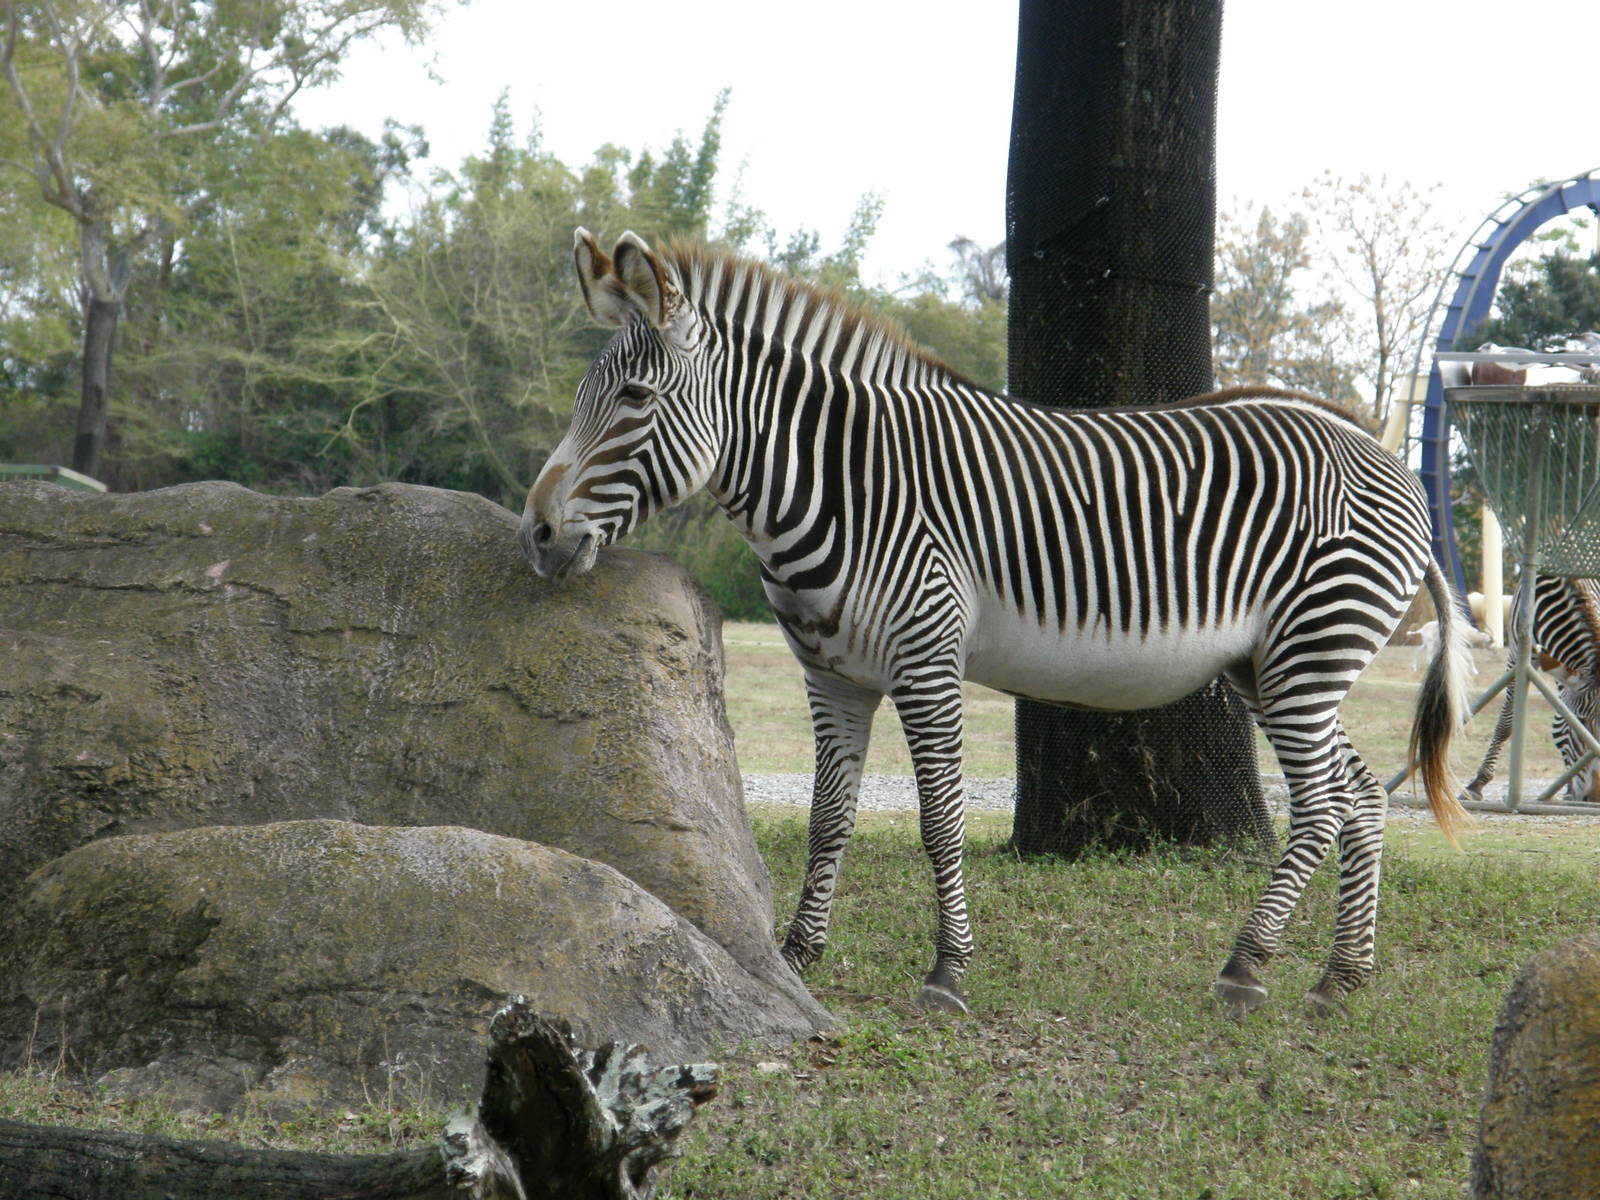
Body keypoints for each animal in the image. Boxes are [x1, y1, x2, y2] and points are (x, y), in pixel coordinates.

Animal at [520, 229, 1471, 1017]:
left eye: (635, 396)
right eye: (585, 395)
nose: (537, 534)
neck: (838, 489)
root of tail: (1385, 456)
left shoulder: (927, 659)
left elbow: (940, 819)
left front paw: (947, 973)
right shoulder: (833, 676)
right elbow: (831, 819)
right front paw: (796, 957)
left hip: (1313, 647)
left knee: (1321, 803)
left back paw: (1246, 968)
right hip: (1271, 665)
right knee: (1359, 794)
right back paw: (1341, 976)